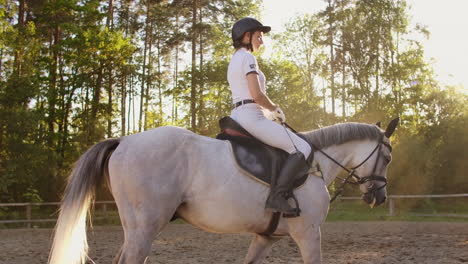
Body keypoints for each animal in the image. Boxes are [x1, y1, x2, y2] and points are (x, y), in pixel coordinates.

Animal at [47, 118, 398, 264]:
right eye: (388, 157)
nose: (378, 197)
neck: (316, 165)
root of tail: (124, 140)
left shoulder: (266, 237)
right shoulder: (309, 234)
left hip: (135, 228)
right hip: (146, 227)